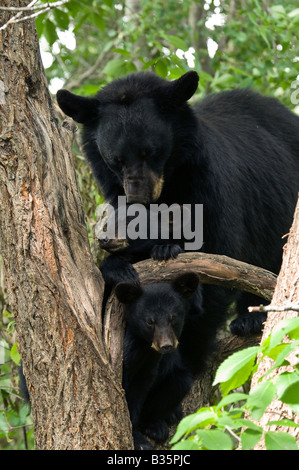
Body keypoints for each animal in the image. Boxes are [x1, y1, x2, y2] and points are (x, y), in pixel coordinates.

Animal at [56, 71, 299, 332]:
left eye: (151, 152)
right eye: (116, 159)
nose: (138, 197)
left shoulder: (208, 187)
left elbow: (220, 260)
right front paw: (121, 268)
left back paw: (249, 320)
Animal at [115, 274, 209, 450]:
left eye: (173, 318)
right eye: (150, 321)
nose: (166, 345)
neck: (143, 349)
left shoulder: (148, 366)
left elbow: (139, 392)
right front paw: (138, 441)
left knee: (181, 381)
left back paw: (156, 426)